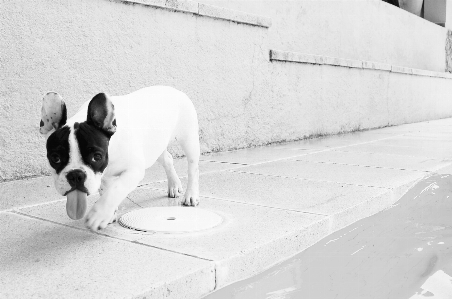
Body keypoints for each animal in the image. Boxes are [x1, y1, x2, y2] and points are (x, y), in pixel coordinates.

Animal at [38, 86, 200, 232]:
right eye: (55, 158)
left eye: (97, 157)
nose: (75, 175)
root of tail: (173, 89)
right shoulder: (104, 177)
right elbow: (105, 191)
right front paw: (109, 214)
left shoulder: (134, 170)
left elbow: (116, 189)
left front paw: (99, 213)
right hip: (154, 147)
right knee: (167, 159)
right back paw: (174, 185)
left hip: (188, 139)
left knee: (193, 168)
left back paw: (191, 195)